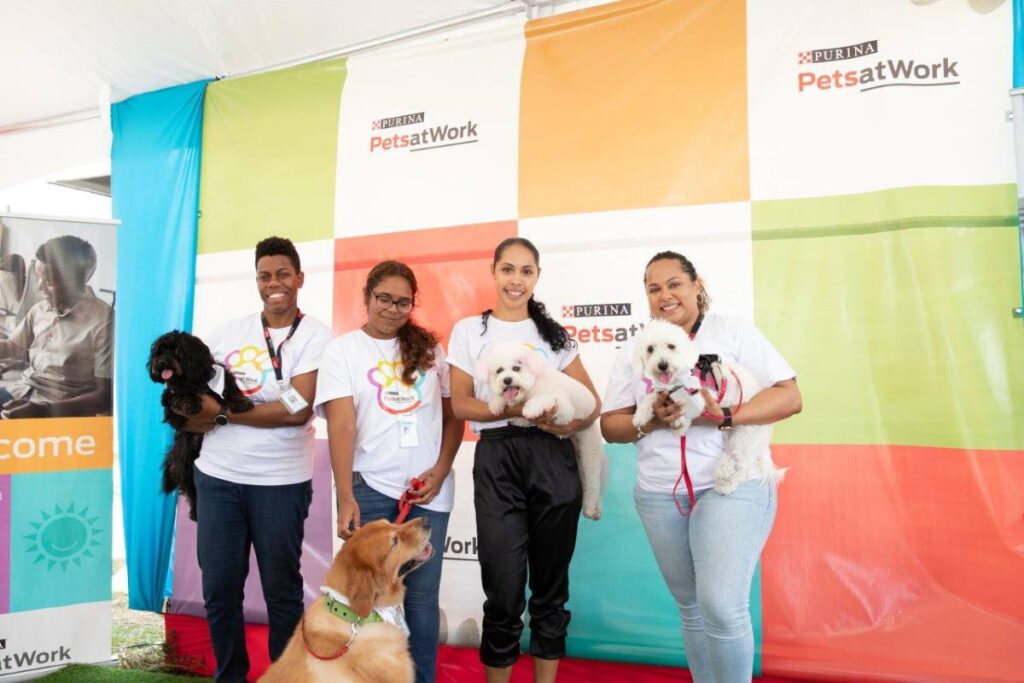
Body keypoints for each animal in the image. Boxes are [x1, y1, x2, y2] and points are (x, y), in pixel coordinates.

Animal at [147, 329, 252, 518]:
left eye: (176, 350)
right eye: (160, 351)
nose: (160, 363)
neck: (190, 379)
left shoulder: (218, 377)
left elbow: (230, 387)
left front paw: (240, 402)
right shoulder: (170, 402)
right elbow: (177, 396)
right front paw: (190, 402)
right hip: (184, 465)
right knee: (191, 490)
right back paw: (195, 513)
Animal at [473, 344, 602, 520]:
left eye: (516, 367)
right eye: (499, 371)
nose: (507, 380)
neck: (530, 387)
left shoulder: (563, 408)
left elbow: (543, 401)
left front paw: (531, 409)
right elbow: (516, 411)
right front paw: (497, 404)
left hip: (589, 448)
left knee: (593, 481)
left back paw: (590, 508)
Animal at [630, 321, 782, 497]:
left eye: (671, 346)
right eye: (650, 349)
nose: (662, 365)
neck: (676, 382)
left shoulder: (706, 395)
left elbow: (687, 405)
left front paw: (680, 424)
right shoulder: (663, 391)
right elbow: (650, 397)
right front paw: (641, 415)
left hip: (746, 435)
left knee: (744, 466)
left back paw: (728, 484)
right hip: (734, 435)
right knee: (732, 456)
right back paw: (723, 471)